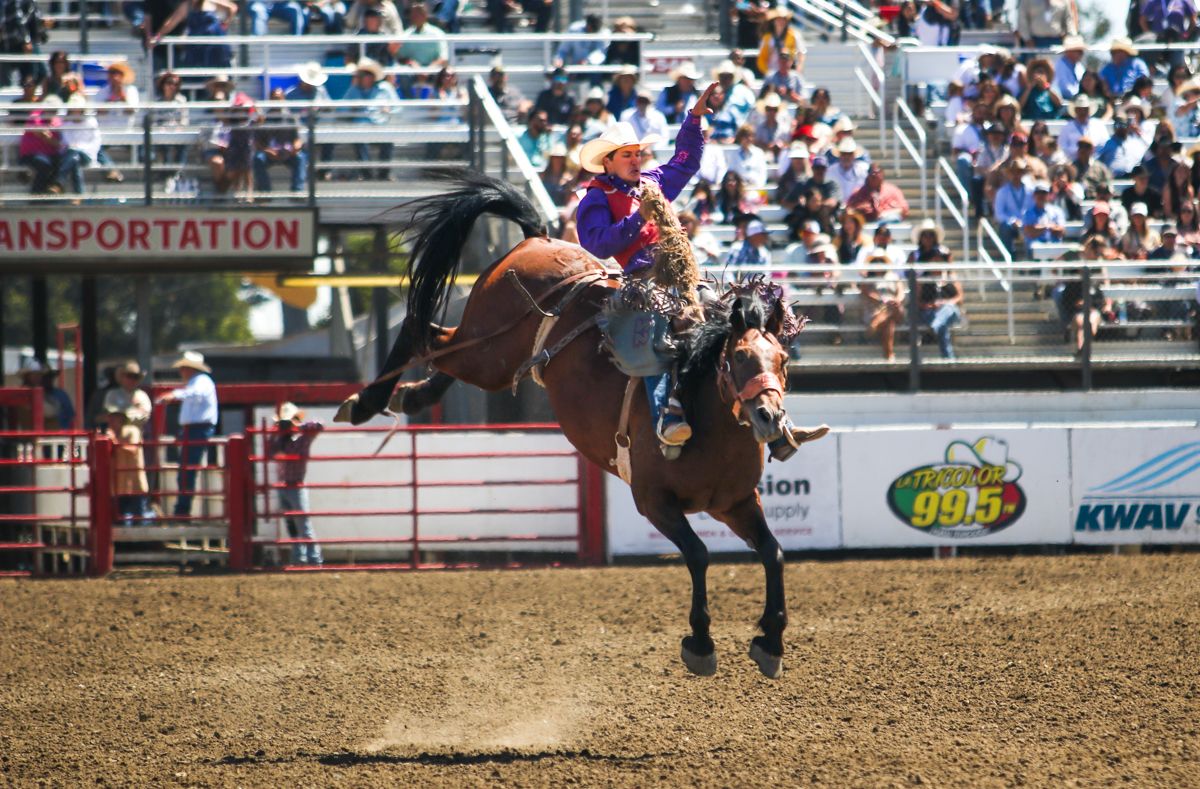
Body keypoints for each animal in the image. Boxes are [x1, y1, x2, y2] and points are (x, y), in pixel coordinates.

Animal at [338, 169, 801, 671]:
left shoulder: (735, 502)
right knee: (421, 332)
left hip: (493, 358)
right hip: (488, 348)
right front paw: (700, 644)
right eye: (737, 359)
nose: (769, 415)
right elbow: (698, 555)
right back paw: (363, 403)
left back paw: (413, 395)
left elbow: (774, 553)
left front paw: (771, 640)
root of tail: (535, 239)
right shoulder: (653, 501)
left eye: (781, 360)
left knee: (442, 349)